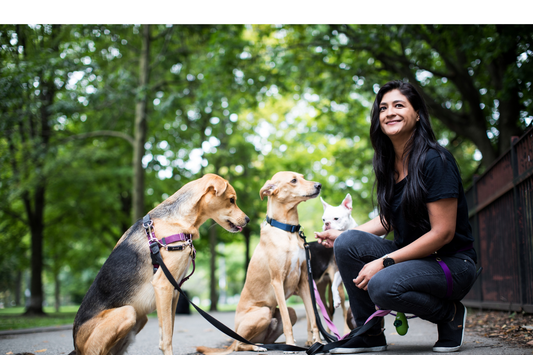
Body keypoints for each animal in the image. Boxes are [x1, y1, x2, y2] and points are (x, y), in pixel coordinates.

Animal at [70, 175, 249, 355]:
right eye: (231, 200)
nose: (248, 219)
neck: (177, 220)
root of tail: (76, 345)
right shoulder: (163, 284)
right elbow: (167, 336)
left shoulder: (174, 290)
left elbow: (169, 329)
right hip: (128, 311)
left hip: (140, 318)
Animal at [195, 171, 320, 354]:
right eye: (293, 180)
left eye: (303, 177)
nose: (319, 185)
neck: (287, 231)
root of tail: (234, 338)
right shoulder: (277, 281)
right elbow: (288, 323)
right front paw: (292, 346)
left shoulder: (304, 281)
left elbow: (313, 319)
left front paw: (318, 343)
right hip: (263, 312)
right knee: (239, 345)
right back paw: (257, 347)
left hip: (290, 312)